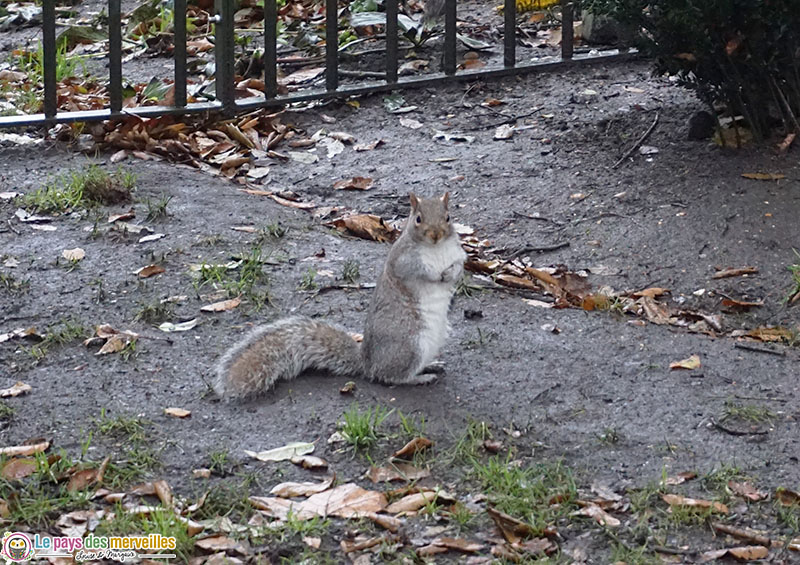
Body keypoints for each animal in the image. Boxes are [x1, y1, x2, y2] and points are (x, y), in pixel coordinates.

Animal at [212, 193, 468, 396]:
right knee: (391, 377)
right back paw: (419, 378)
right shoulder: (402, 260)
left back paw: (432, 366)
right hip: (410, 345)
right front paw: (436, 276)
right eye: (418, 219)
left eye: (448, 217)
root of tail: (367, 362)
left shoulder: (458, 254)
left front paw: (449, 274)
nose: (435, 234)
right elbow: (417, 272)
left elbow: (458, 269)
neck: (435, 249)